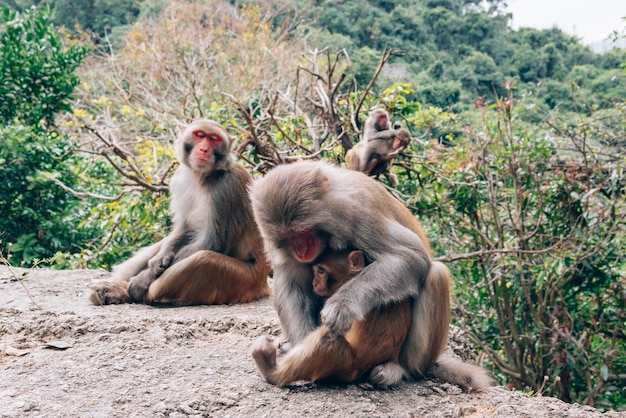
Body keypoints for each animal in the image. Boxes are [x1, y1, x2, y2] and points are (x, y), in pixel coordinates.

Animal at [89, 119, 270, 306]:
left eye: (214, 139)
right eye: (199, 135)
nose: (203, 149)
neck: (202, 176)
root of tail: (263, 285)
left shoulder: (227, 189)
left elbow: (212, 241)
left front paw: (142, 279)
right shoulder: (179, 180)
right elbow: (184, 229)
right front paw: (159, 259)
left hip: (242, 281)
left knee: (204, 260)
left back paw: (132, 292)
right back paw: (115, 289)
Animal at [251, 250, 412, 386]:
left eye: (321, 271)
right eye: (315, 271)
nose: (314, 283)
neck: (351, 277)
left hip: (344, 366)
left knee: (327, 339)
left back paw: (269, 371)